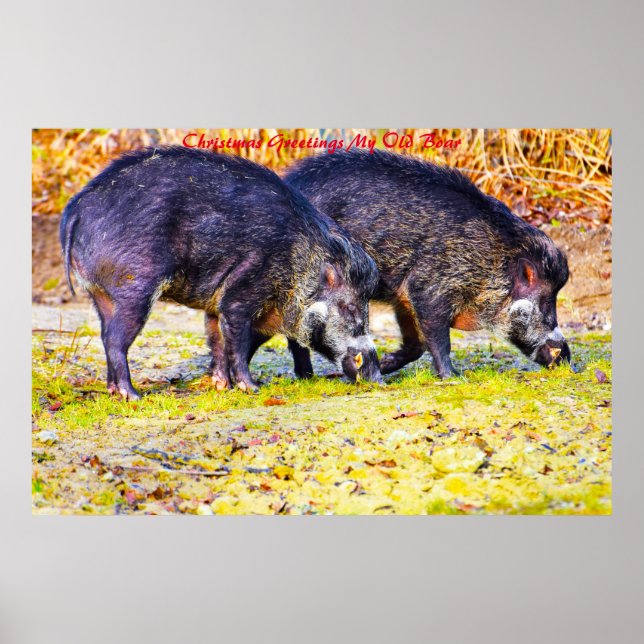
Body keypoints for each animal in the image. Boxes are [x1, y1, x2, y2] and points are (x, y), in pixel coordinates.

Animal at [60, 146, 382, 400]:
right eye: (349, 307)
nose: (378, 378)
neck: (299, 263)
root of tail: (76, 208)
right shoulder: (242, 291)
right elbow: (236, 342)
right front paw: (252, 388)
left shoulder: (217, 305)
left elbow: (216, 339)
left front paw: (221, 385)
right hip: (134, 287)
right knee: (115, 339)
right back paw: (133, 395)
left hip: (99, 293)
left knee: (104, 334)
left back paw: (114, 391)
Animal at [284, 149, 571, 378]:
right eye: (545, 302)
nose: (568, 358)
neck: (492, 260)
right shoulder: (430, 287)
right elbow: (439, 339)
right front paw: (453, 377)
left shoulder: (404, 298)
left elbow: (417, 345)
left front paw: (386, 365)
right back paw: (309, 376)